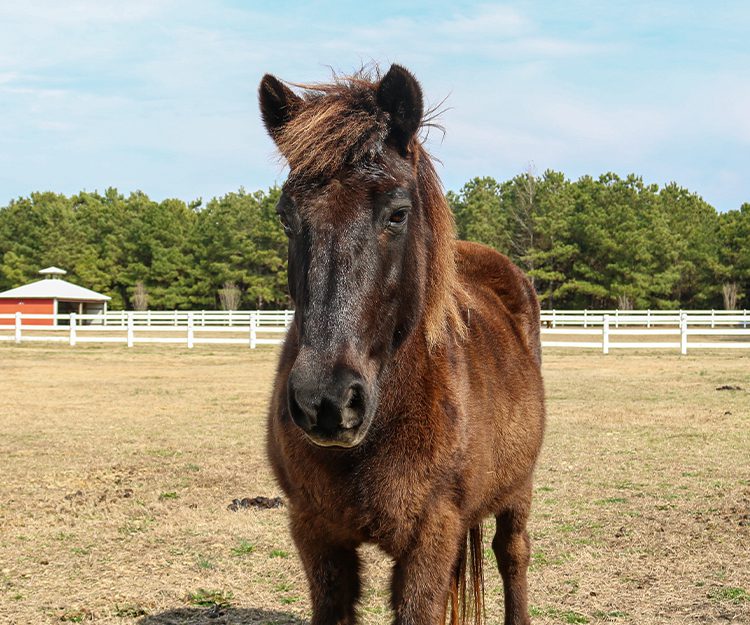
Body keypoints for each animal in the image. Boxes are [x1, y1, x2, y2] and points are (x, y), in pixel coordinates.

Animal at [260, 64, 548, 624]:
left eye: (397, 213)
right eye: (286, 215)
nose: (326, 401)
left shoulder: (430, 538)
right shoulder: (315, 534)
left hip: (518, 487)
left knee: (513, 555)